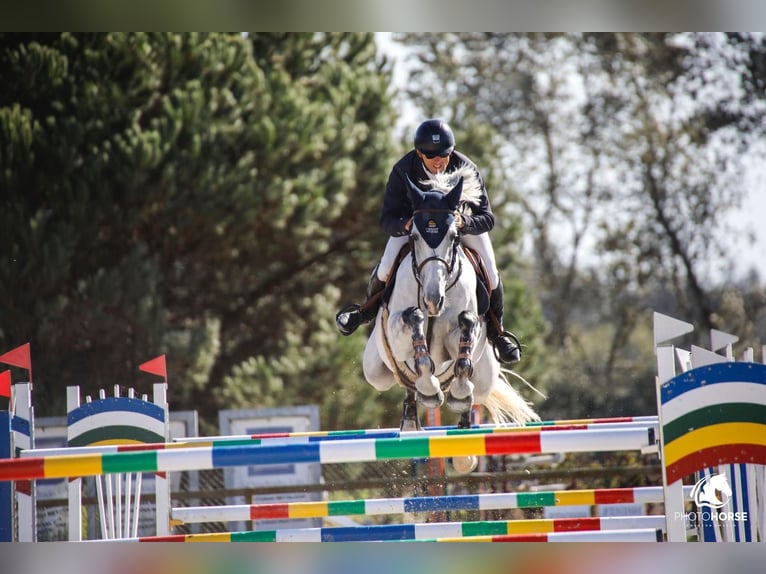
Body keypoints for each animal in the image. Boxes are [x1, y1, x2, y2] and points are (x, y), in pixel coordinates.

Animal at [364, 163, 540, 472]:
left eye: (454, 237)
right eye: (414, 237)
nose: (433, 300)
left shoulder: (462, 333)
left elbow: (465, 333)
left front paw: (456, 391)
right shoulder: (397, 330)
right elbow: (414, 326)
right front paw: (428, 387)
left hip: (485, 379)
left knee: (473, 395)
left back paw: (463, 445)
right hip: (375, 371)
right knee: (404, 384)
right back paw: (412, 419)